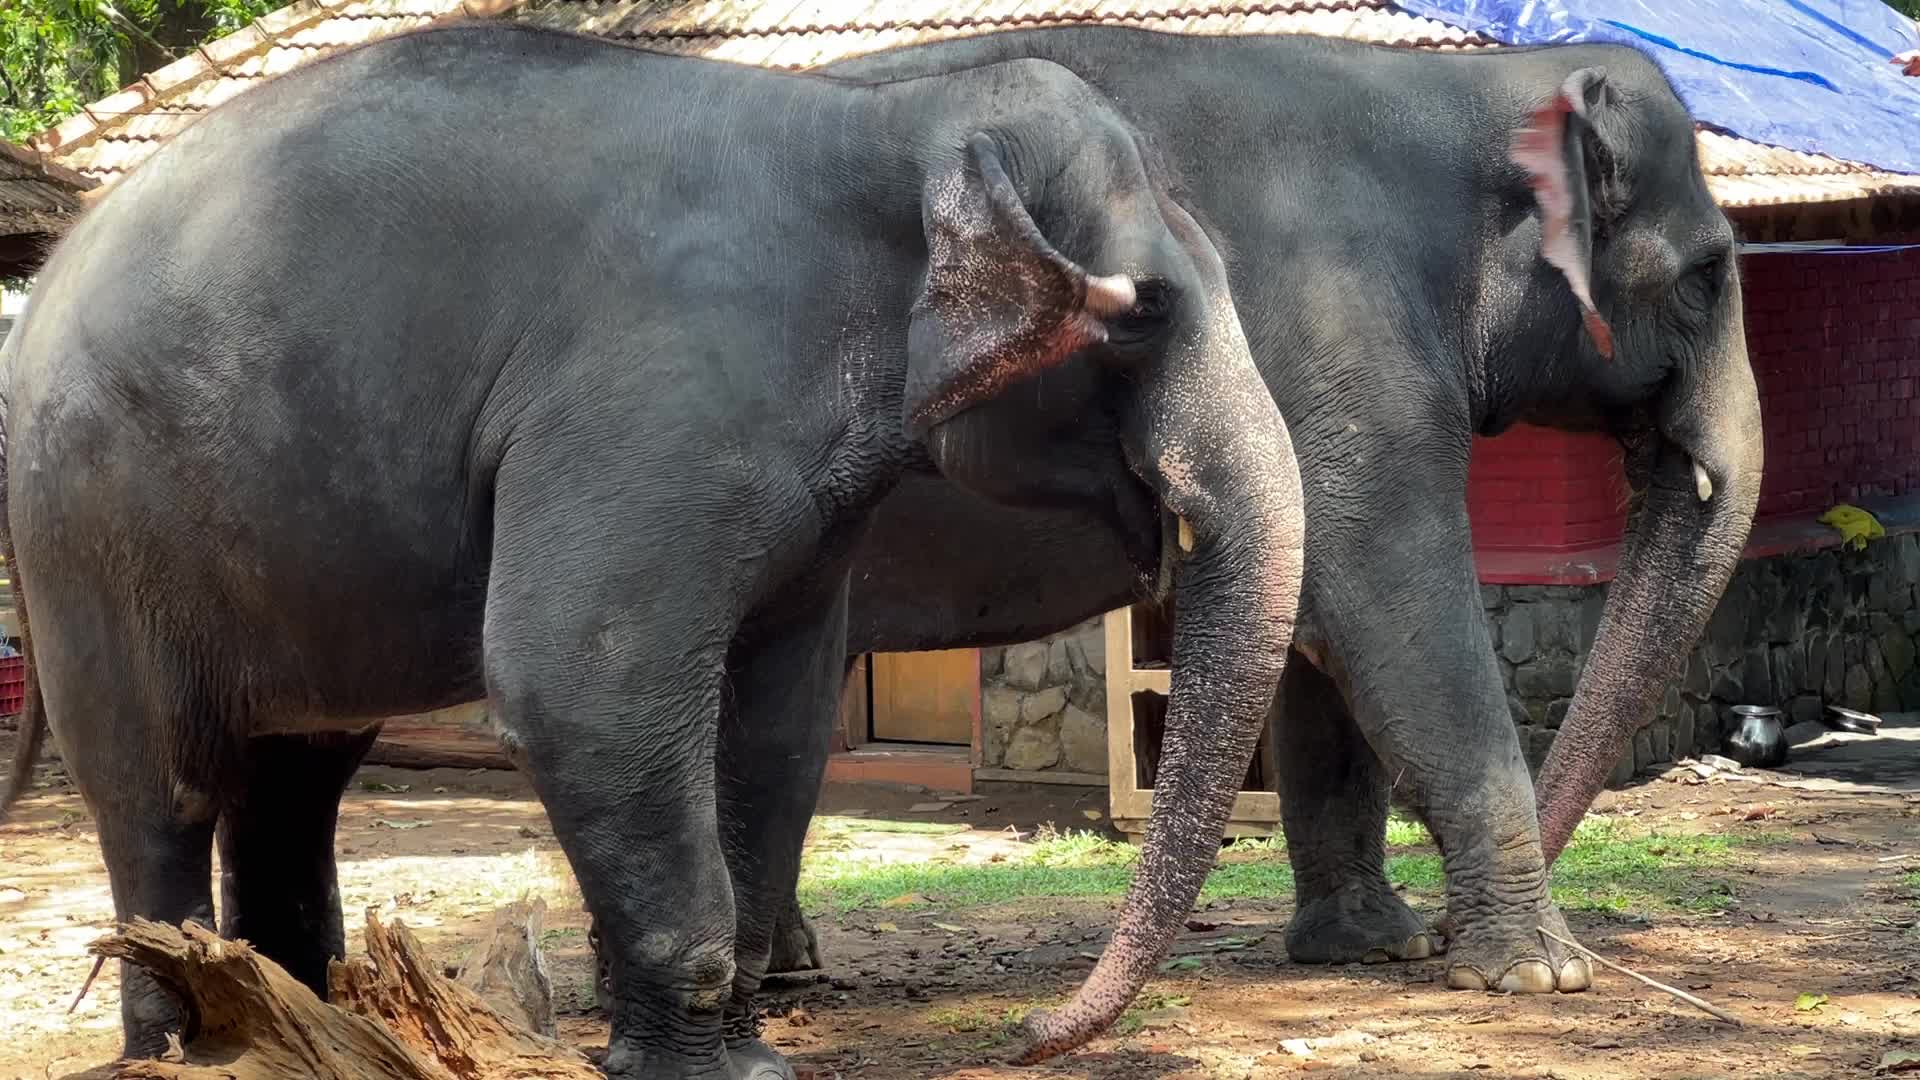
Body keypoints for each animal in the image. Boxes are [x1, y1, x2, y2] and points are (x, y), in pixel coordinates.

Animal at [0, 22, 1309, 1077]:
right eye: (1145, 312)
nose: (1029, 1033)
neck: (891, 122)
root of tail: (45, 284)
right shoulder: (651, 404)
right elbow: (582, 685)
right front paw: (692, 1069)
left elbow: (779, 714)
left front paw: (744, 1063)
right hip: (90, 533)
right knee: (161, 785)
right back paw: (182, 1046)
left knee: (296, 776)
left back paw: (303, 1026)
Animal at [732, 27, 1763, 997]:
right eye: (1708, 274)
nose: (1444, 922)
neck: (1462, 87)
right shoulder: (1340, 344)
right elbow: (1395, 615)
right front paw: (1536, 973)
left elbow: (1324, 644)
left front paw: (1372, 946)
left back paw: (784, 964)